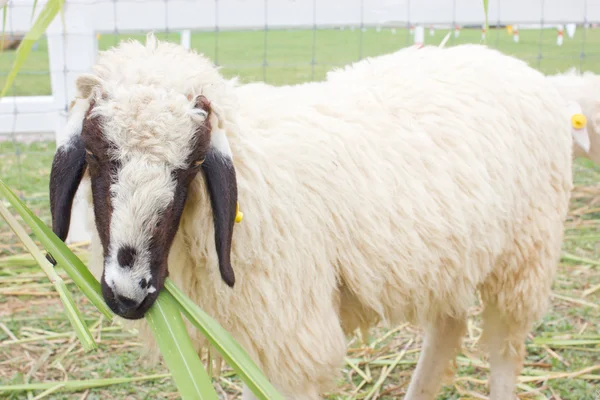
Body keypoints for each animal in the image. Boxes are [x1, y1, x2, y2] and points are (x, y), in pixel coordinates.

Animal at [47, 35, 572, 400]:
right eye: (95, 154)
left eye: (191, 163)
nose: (128, 294)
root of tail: (517, 66)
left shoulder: (292, 336)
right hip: (453, 259)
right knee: (447, 330)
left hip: (525, 255)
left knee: (504, 350)